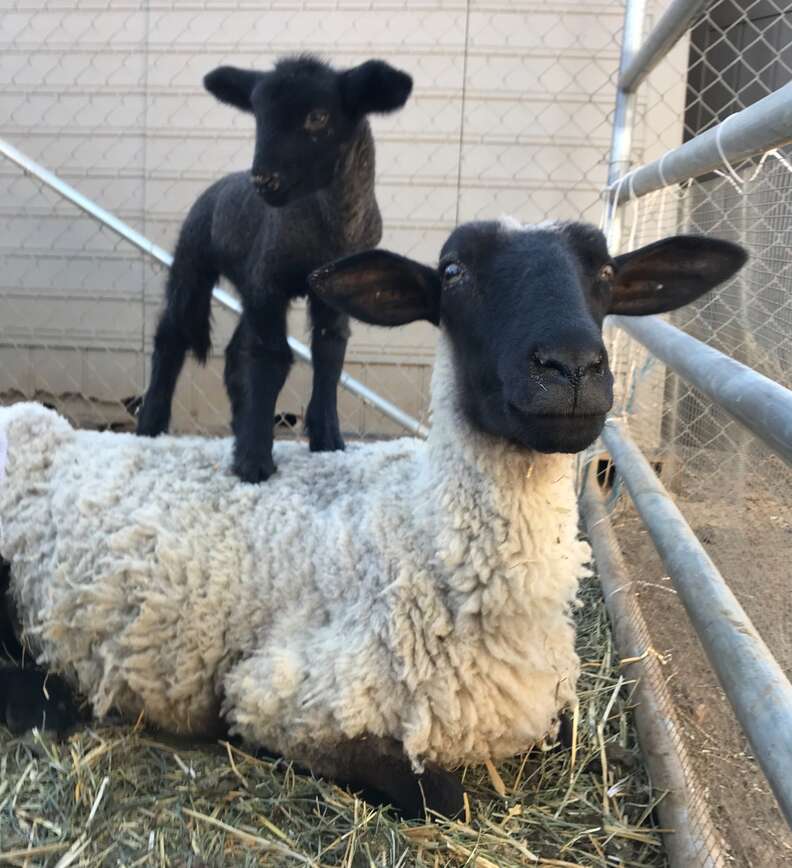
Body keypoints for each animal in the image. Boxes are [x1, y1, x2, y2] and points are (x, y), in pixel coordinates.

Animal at [0, 219, 746, 817]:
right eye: (453, 271)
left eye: (607, 271)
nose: (572, 367)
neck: (420, 538)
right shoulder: (279, 698)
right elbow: (445, 798)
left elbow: (572, 735)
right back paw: (45, 702)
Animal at [135, 54, 413, 483]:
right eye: (258, 117)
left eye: (318, 116)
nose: (264, 181)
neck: (329, 226)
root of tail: (219, 185)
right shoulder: (268, 283)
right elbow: (271, 359)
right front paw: (254, 461)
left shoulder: (334, 288)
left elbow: (329, 351)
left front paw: (328, 439)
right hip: (192, 260)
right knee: (172, 334)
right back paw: (151, 423)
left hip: (246, 282)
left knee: (235, 354)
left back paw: (239, 424)